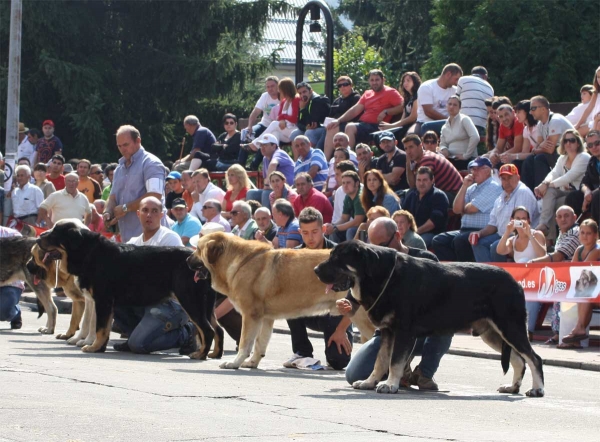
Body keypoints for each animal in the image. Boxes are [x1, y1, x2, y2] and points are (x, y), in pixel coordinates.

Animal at [37, 221, 225, 360]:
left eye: (54, 234)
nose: (39, 237)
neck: (89, 252)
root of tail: (201, 263)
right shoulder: (105, 303)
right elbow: (104, 328)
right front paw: (99, 347)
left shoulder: (102, 300)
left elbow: (99, 327)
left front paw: (93, 347)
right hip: (206, 306)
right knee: (217, 330)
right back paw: (215, 354)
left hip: (190, 301)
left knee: (207, 330)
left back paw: (200, 355)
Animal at [188, 231, 376, 370]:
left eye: (197, 249)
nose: (186, 259)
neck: (239, 262)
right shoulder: (265, 318)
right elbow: (259, 343)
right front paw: (252, 362)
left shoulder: (250, 316)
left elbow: (244, 343)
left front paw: (234, 363)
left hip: (362, 317)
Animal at [316, 240, 548, 398]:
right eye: (330, 256)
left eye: (337, 260)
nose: (316, 269)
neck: (381, 276)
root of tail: (516, 282)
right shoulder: (388, 332)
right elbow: (380, 361)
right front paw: (370, 382)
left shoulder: (403, 332)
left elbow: (394, 361)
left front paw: (390, 384)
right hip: (492, 332)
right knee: (519, 359)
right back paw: (513, 387)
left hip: (510, 326)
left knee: (534, 358)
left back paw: (537, 389)